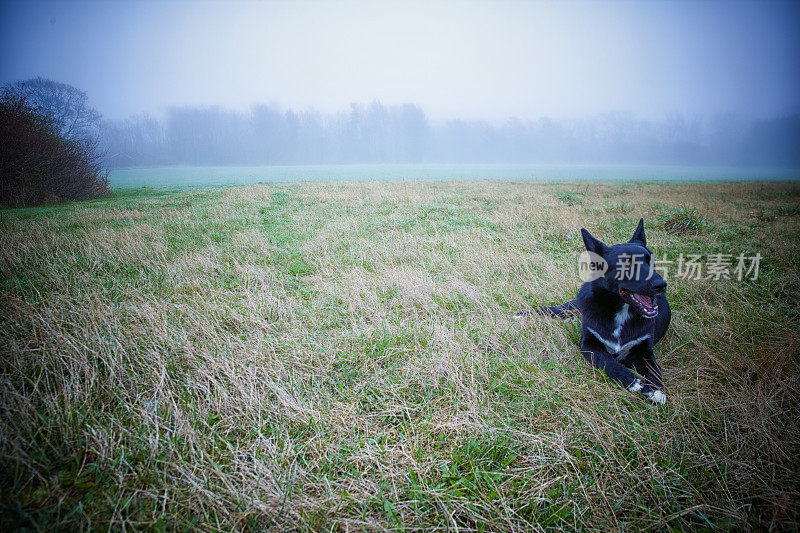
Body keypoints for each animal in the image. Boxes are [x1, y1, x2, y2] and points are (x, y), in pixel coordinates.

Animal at [512, 217, 668, 404]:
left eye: (651, 261)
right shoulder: (588, 344)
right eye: (626, 265)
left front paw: (655, 389)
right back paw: (523, 316)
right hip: (571, 306)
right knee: (552, 310)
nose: (661, 285)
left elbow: (654, 369)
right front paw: (631, 380)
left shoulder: (645, 350)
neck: (620, 311)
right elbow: (607, 360)